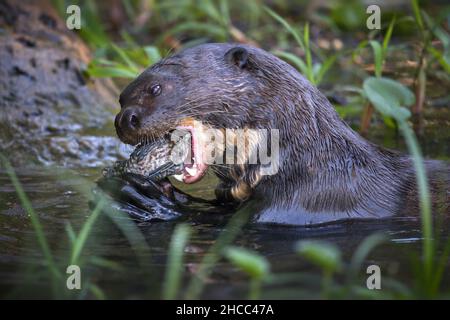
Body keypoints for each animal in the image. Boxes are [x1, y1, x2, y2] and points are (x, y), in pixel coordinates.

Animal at [107, 42, 448, 225]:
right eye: (121, 98)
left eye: (155, 88)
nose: (124, 118)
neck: (311, 161)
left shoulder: (301, 205)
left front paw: (142, 198)